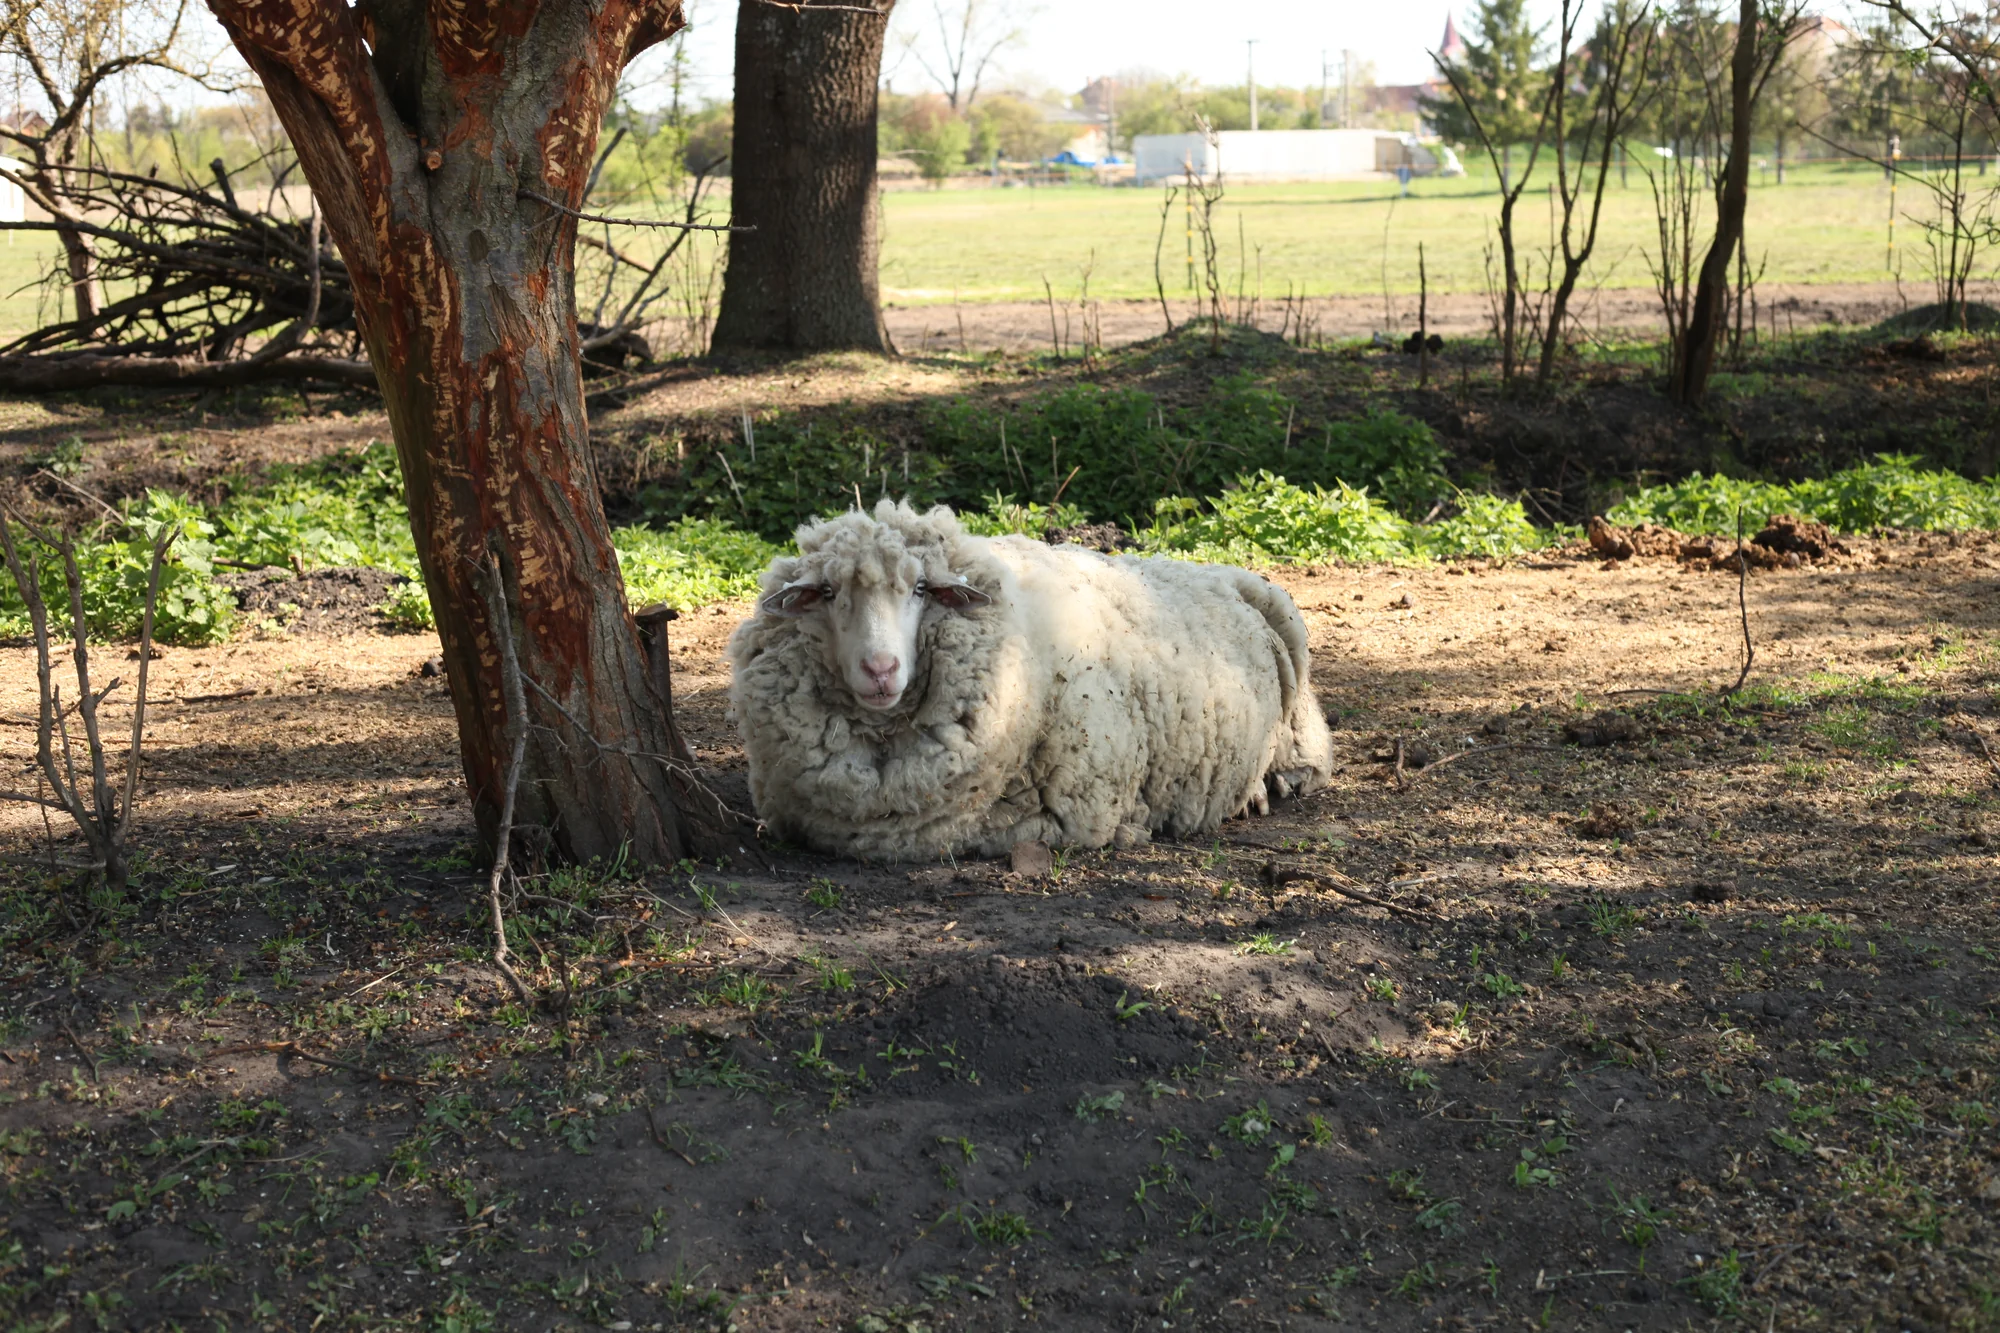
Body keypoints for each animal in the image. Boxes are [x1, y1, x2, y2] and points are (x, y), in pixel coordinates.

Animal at [726, 499, 1334, 861]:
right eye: (827, 593)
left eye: (922, 589)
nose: (881, 669)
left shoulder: (1079, 812)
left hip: (1296, 691)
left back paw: (1265, 788)